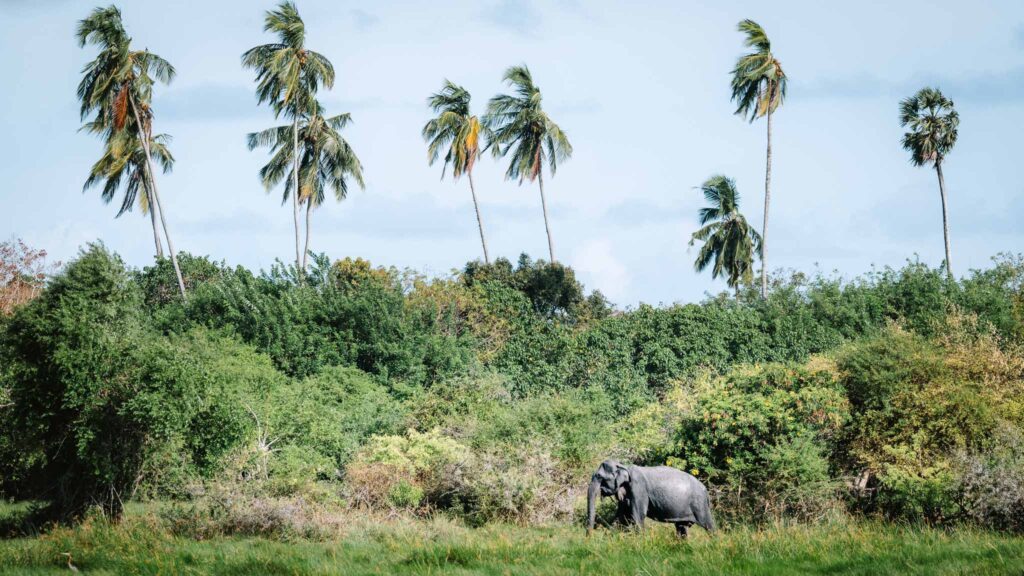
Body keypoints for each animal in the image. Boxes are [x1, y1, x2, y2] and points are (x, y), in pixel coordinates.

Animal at [586, 459, 715, 538]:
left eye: (599, 476)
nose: (589, 538)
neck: (623, 465)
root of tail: (706, 491)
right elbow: (621, 517)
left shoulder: (639, 488)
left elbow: (637, 515)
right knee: (681, 528)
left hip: (699, 504)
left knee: (708, 525)